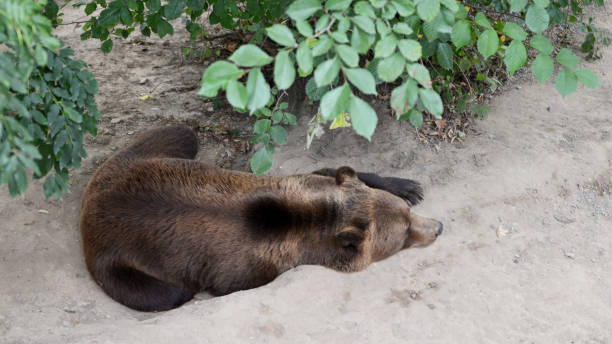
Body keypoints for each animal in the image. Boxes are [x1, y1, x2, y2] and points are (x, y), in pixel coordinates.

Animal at [81, 125, 442, 312]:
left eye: (407, 214)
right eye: (405, 231)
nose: (438, 227)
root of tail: (92, 196)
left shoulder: (307, 183)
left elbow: (331, 170)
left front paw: (407, 185)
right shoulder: (241, 268)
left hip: (145, 158)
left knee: (181, 132)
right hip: (115, 258)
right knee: (164, 294)